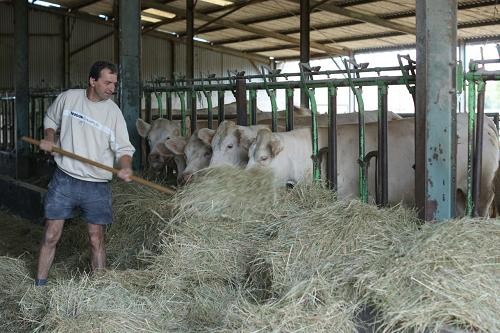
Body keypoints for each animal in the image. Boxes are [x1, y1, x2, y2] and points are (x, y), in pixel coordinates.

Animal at [247, 114, 500, 217]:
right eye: (248, 154)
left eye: (263, 158)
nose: (243, 179)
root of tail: (485, 120)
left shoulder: (348, 195)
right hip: (458, 193)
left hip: (482, 187)